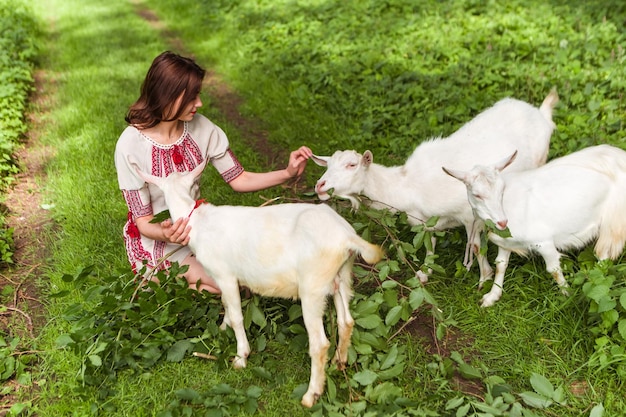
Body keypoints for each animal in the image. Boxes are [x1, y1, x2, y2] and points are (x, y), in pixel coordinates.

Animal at [134, 159, 382, 406]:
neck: (197, 220)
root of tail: (347, 238)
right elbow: (226, 305)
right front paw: (222, 328)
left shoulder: (225, 275)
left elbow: (237, 316)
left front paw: (240, 356)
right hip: (341, 277)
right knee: (346, 321)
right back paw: (339, 362)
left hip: (313, 286)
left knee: (320, 343)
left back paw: (311, 395)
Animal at [312, 90, 556, 284]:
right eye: (328, 165)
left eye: (352, 164)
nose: (319, 185)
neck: (406, 185)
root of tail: (540, 113)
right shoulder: (425, 222)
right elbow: (430, 243)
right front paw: (424, 273)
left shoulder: (470, 214)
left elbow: (476, 246)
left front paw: (484, 278)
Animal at [442, 143, 624, 306]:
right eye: (477, 195)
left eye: (502, 189)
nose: (502, 221)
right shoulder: (505, 242)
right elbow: (501, 265)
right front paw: (491, 297)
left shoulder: (544, 242)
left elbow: (554, 270)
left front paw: (567, 296)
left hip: (613, 220)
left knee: (604, 253)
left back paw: (596, 278)